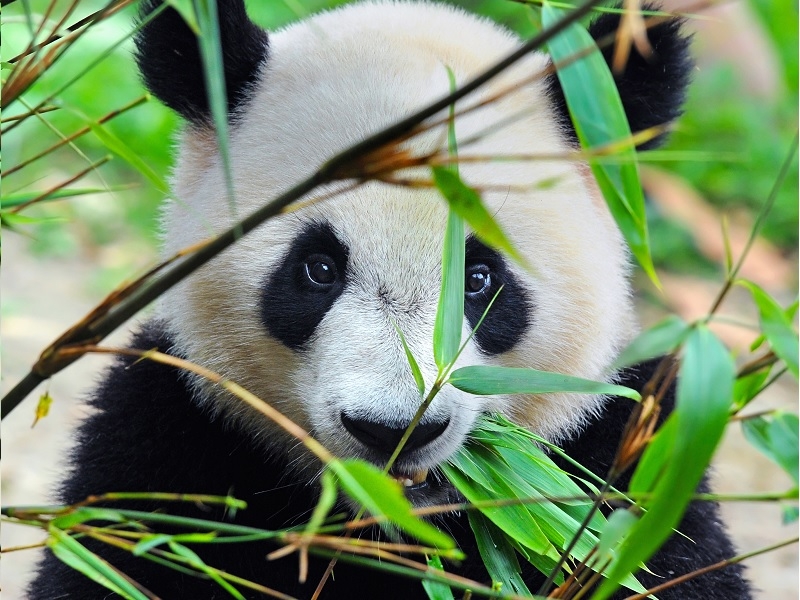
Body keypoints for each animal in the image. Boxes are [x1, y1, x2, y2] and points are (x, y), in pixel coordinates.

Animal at [28, 1, 752, 600]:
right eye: (318, 269)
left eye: (479, 279)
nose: (392, 430)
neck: (395, 524)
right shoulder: (172, 433)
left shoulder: (626, 458)